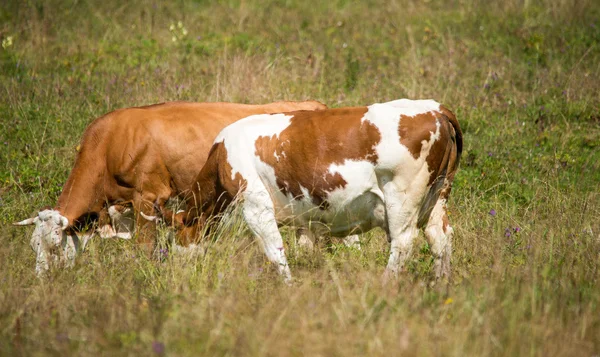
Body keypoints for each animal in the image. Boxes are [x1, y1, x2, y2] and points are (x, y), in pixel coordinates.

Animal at [11, 100, 328, 276]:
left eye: (54, 246)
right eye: (33, 245)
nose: (42, 280)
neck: (109, 144)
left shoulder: (147, 197)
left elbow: (144, 247)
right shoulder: (119, 207)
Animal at [152, 98, 462, 282]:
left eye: (175, 235)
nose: (173, 263)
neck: (221, 157)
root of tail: (435, 108)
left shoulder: (256, 208)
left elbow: (276, 252)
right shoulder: (306, 217)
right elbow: (306, 250)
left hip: (402, 199)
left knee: (403, 242)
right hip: (437, 197)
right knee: (440, 238)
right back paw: (440, 285)